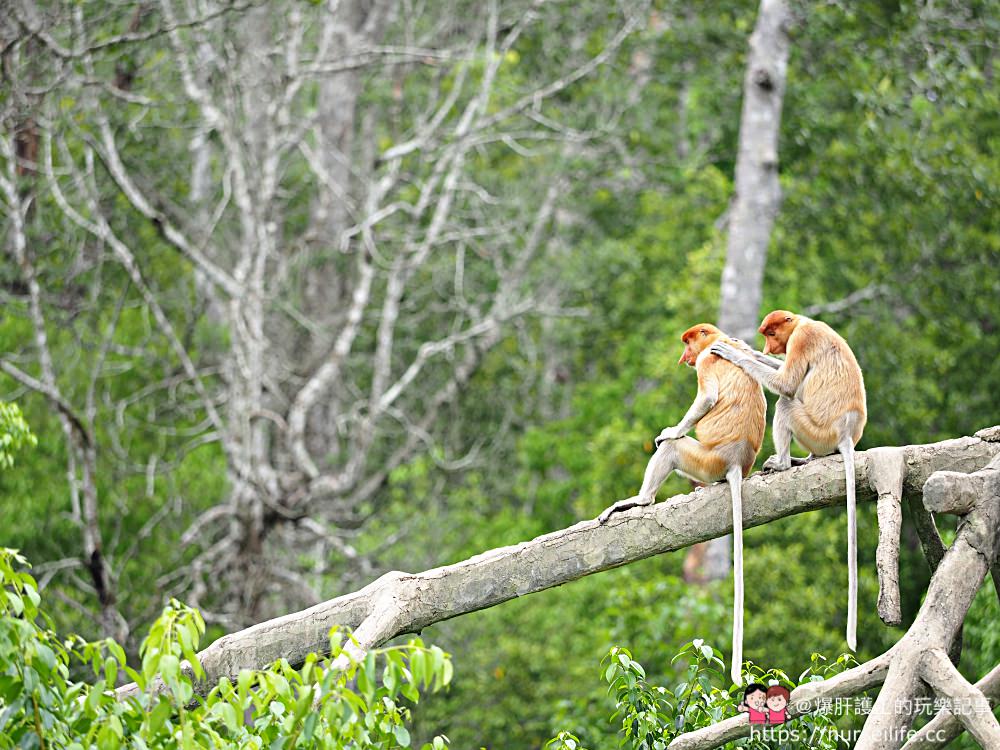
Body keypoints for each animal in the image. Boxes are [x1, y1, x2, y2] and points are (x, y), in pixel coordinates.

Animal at [600, 324, 764, 688]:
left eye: (688, 343)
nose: (683, 357)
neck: (722, 339)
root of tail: (736, 463)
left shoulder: (706, 362)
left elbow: (707, 399)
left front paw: (669, 431)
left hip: (705, 460)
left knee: (673, 449)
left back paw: (640, 498)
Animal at [712, 312, 868, 652]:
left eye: (772, 333)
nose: (768, 348)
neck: (801, 323)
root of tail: (847, 435)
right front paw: (745, 348)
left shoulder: (801, 340)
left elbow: (785, 383)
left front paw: (735, 354)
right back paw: (804, 460)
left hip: (817, 431)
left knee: (786, 401)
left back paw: (782, 463)